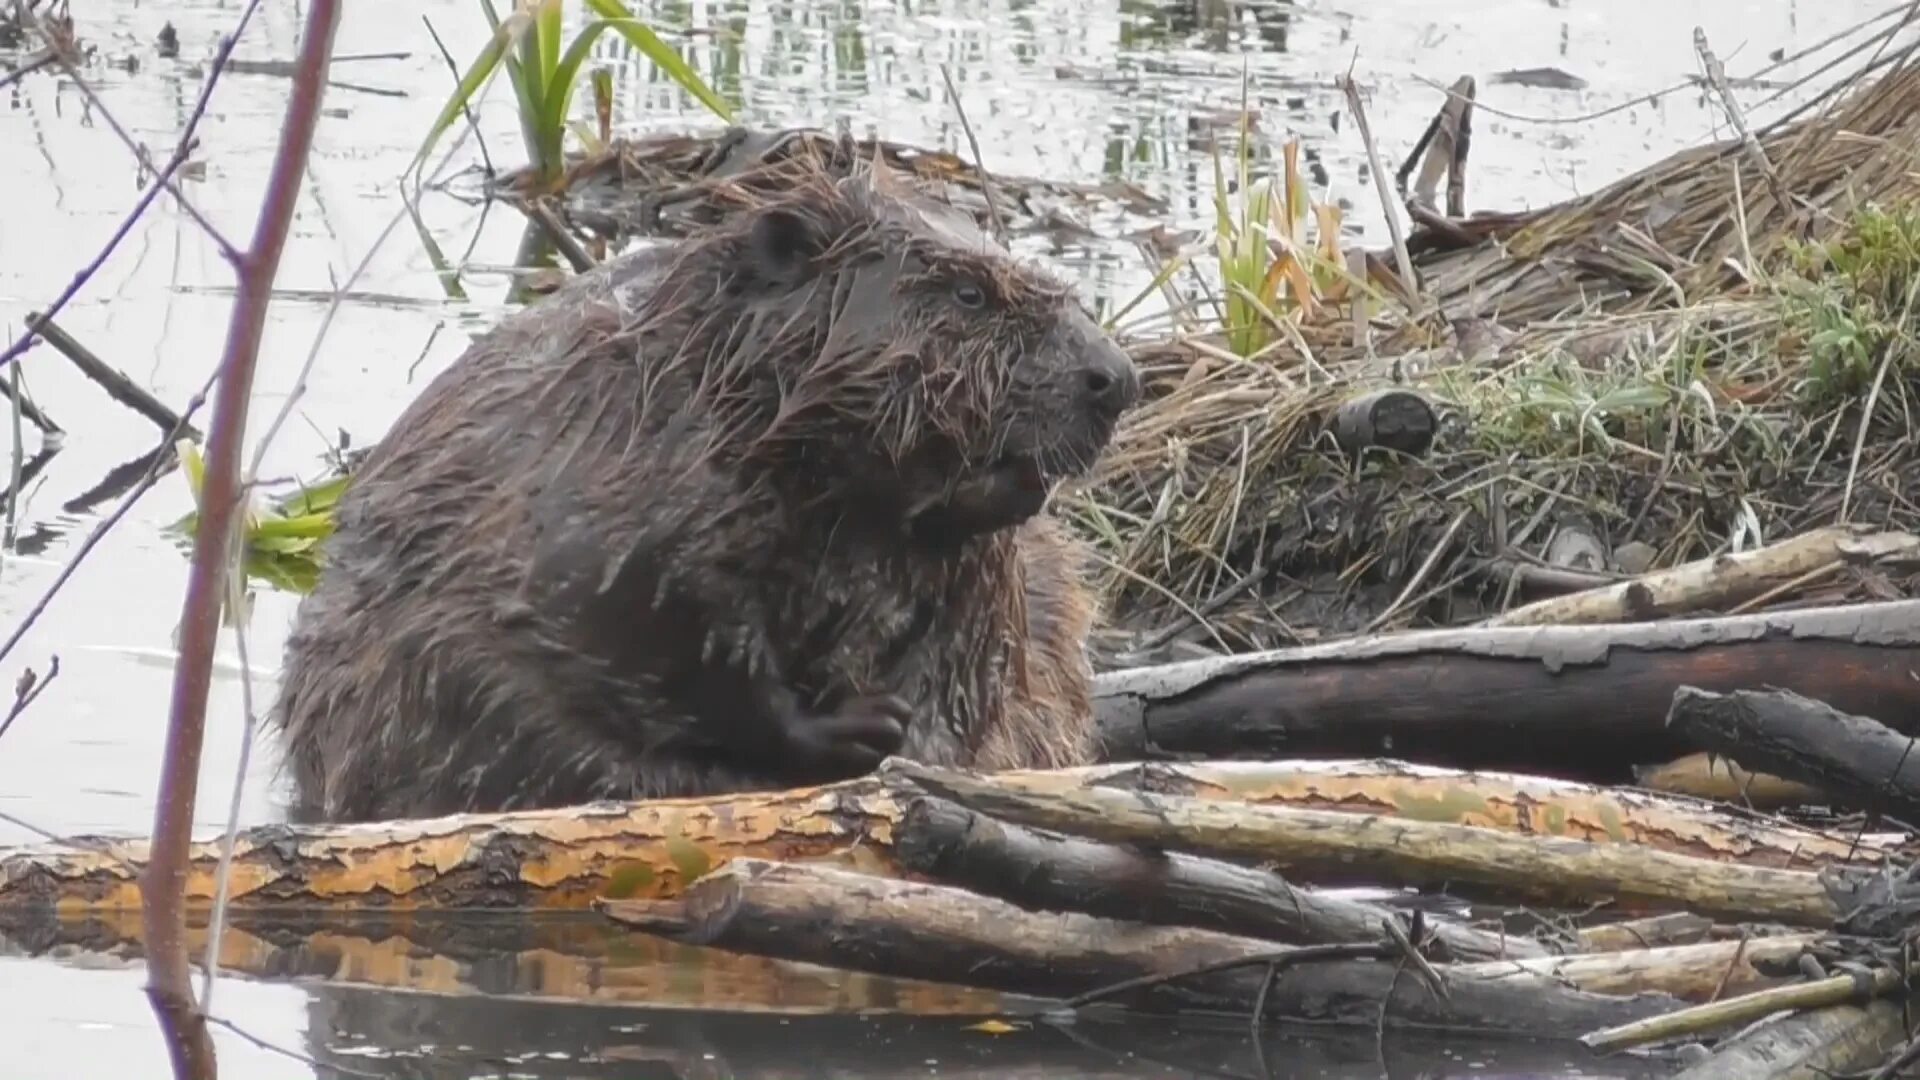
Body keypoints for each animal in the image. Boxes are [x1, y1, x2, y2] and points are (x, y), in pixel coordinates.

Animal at [268, 155, 1136, 818]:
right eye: (969, 292)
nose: (1117, 379)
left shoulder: (986, 578)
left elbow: (970, 674)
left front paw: (913, 746)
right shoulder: (617, 487)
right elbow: (647, 628)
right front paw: (855, 728)